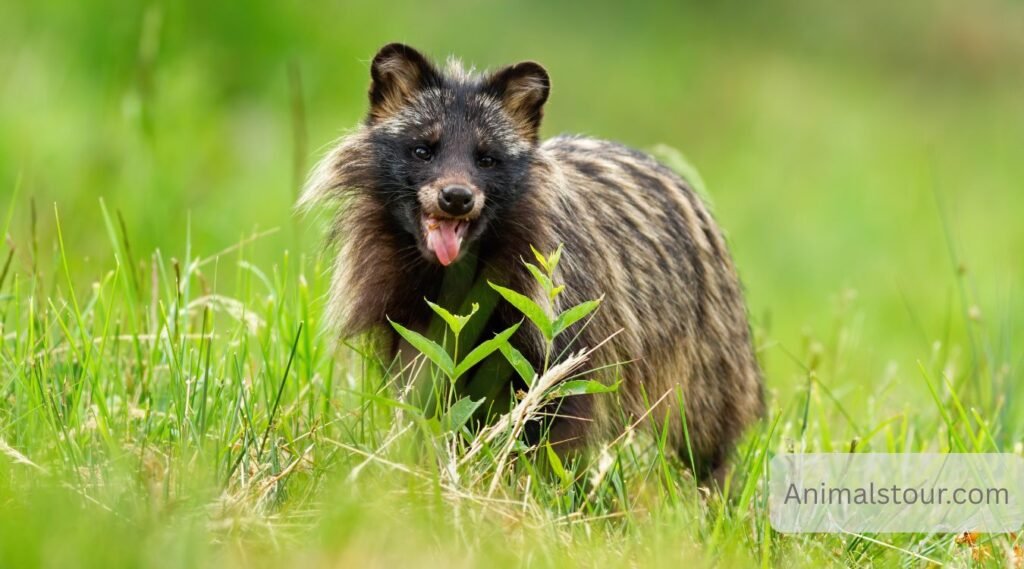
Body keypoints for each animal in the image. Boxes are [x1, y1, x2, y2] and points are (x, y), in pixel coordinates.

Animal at [301, 43, 763, 483]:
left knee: (702, 424)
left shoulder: (568, 319)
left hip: (706, 346)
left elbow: (560, 416)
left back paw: (712, 486)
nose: (456, 197)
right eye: (422, 149)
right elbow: (425, 392)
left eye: (487, 158)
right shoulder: (407, 314)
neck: (451, 273)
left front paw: (537, 483)